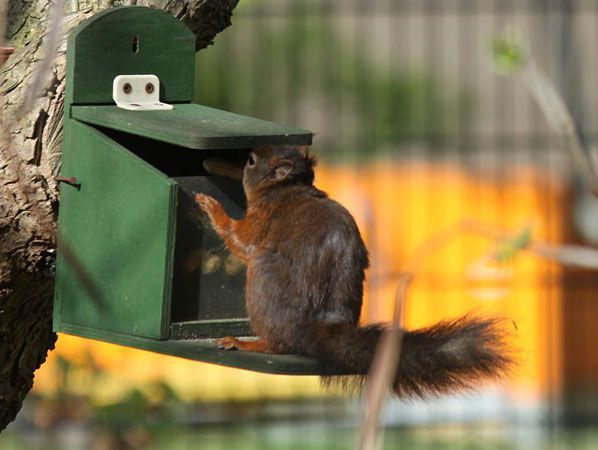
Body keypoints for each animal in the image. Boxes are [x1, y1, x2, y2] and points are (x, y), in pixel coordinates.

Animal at [196, 145, 510, 398]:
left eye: (250, 161)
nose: (223, 164)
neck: (287, 190)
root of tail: (317, 330)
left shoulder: (263, 220)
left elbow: (241, 241)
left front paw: (211, 207)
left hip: (263, 278)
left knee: (279, 344)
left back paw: (245, 344)